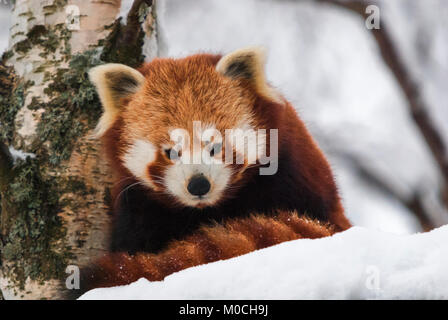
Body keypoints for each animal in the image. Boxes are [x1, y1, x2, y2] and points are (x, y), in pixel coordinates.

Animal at [68, 47, 352, 298]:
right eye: (172, 151)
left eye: (214, 146)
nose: (198, 185)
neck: (209, 210)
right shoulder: (138, 207)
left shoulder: (294, 177)